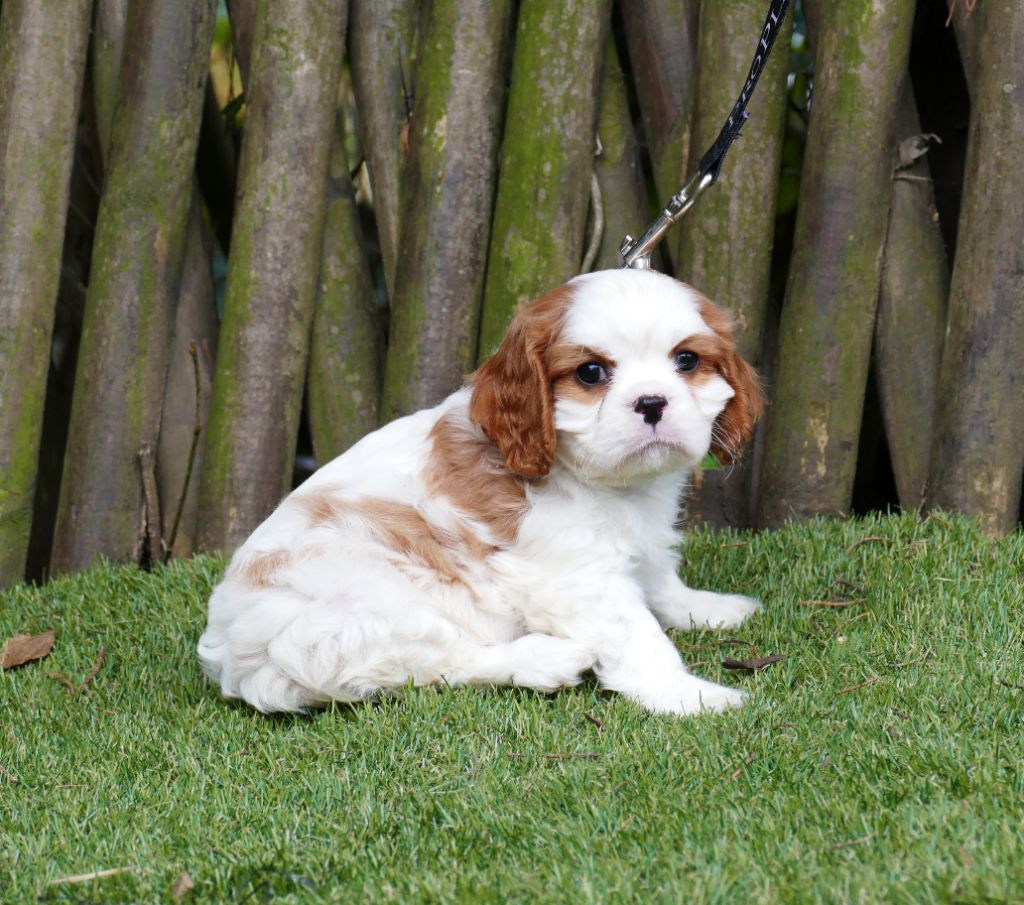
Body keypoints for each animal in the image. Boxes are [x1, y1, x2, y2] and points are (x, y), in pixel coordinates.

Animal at [197, 266, 770, 712]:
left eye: (687, 361)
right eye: (590, 372)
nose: (652, 402)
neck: (603, 481)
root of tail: (228, 653)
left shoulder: (641, 541)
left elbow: (661, 582)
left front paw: (707, 609)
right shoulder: (577, 579)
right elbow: (639, 634)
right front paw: (687, 694)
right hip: (370, 608)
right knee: (439, 663)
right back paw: (543, 660)